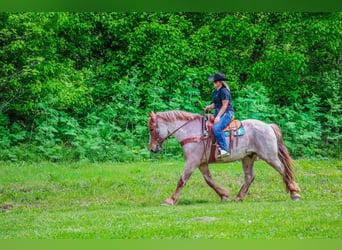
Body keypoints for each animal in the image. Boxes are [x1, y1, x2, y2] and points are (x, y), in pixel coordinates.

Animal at [148, 110, 300, 205]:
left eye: (151, 129)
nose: (152, 148)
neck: (192, 133)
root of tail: (268, 126)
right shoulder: (201, 163)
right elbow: (209, 180)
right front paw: (224, 195)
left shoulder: (192, 161)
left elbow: (182, 180)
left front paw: (170, 200)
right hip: (248, 158)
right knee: (249, 177)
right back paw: (238, 198)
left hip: (270, 156)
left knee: (283, 170)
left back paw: (295, 193)